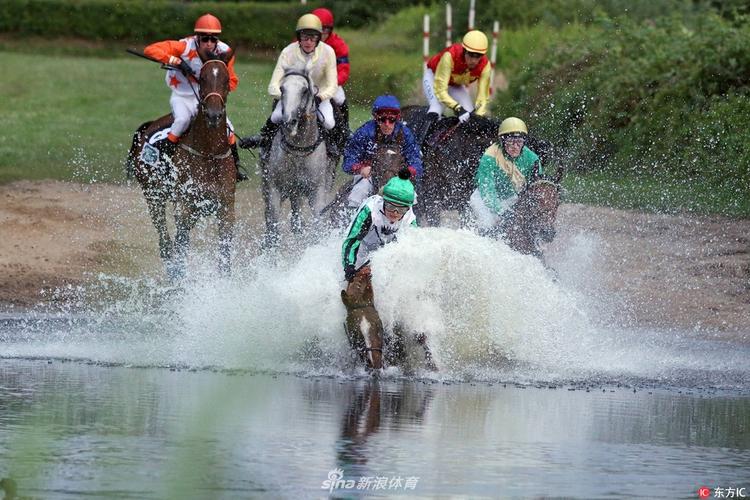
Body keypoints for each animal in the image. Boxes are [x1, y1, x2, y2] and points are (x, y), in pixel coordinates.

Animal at [126, 57, 236, 282]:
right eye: (202, 79)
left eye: (226, 79)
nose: (214, 114)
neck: (209, 154)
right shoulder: (184, 208)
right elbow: (181, 247)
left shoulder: (226, 208)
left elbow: (224, 254)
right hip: (154, 197)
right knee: (166, 243)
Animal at [262, 70, 336, 248]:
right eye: (282, 89)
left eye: (304, 90)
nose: (289, 121)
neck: (298, 150)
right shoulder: (274, 188)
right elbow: (273, 228)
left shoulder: (316, 191)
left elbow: (317, 226)